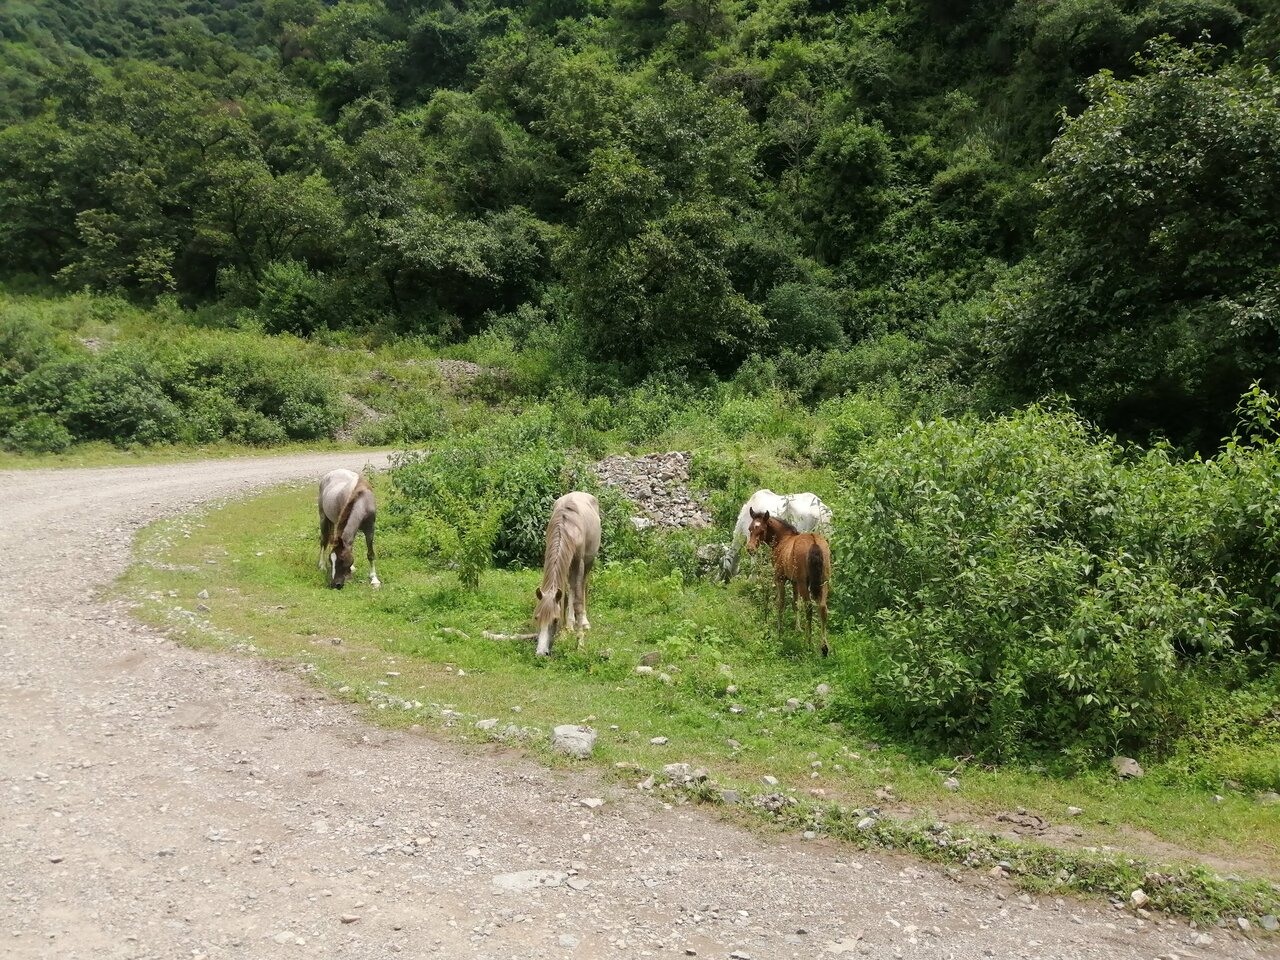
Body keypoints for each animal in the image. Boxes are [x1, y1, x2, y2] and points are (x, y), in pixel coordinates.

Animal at [533, 492, 601, 657]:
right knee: (571, 587)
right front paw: (564, 632)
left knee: (583, 586)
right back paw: (570, 624)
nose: (541, 652)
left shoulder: (579, 563)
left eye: (555, 620)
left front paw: (580, 643)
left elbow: (578, 601)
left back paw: (584, 622)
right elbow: (564, 596)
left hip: (589, 562)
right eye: (537, 618)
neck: (568, 528)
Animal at [746, 508, 831, 657]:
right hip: (823, 582)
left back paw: (808, 643)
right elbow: (795, 604)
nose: (750, 549)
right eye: (750, 528)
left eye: (761, 530)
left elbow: (781, 603)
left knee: (809, 607)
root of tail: (814, 542)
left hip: (804, 583)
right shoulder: (794, 581)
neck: (783, 540)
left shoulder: (780, 578)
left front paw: (779, 630)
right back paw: (824, 647)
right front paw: (797, 629)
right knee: (822, 608)